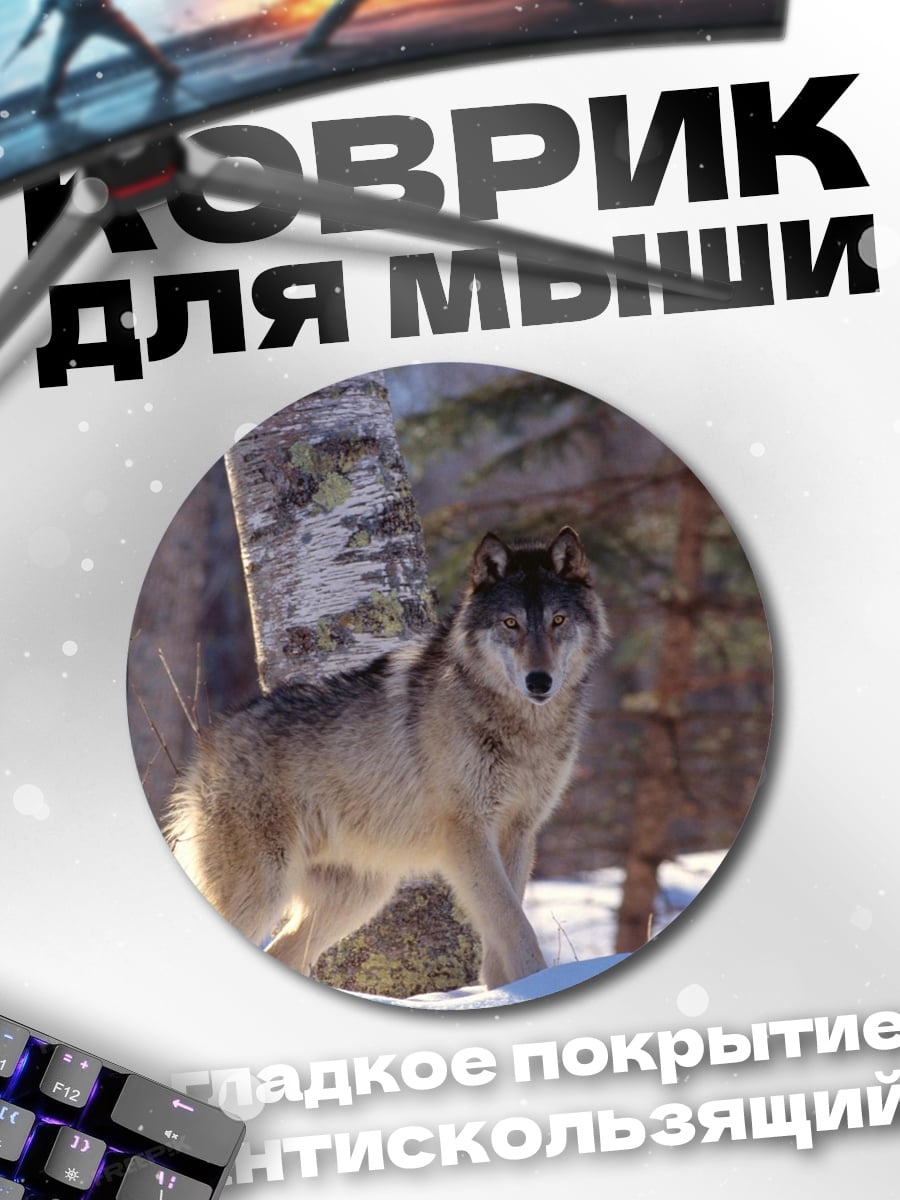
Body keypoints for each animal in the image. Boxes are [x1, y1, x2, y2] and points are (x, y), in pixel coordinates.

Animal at [163, 526, 609, 990]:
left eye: (558, 620)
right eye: (511, 623)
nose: (539, 681)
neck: (521, 729)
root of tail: (205, 749)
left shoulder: (519, 831)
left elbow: (504, 925)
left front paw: (506, 992)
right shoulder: (466, 832)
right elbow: (514, 923)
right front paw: (535, 985)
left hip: (359, 898)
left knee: (281, 955)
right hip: (264, 892)